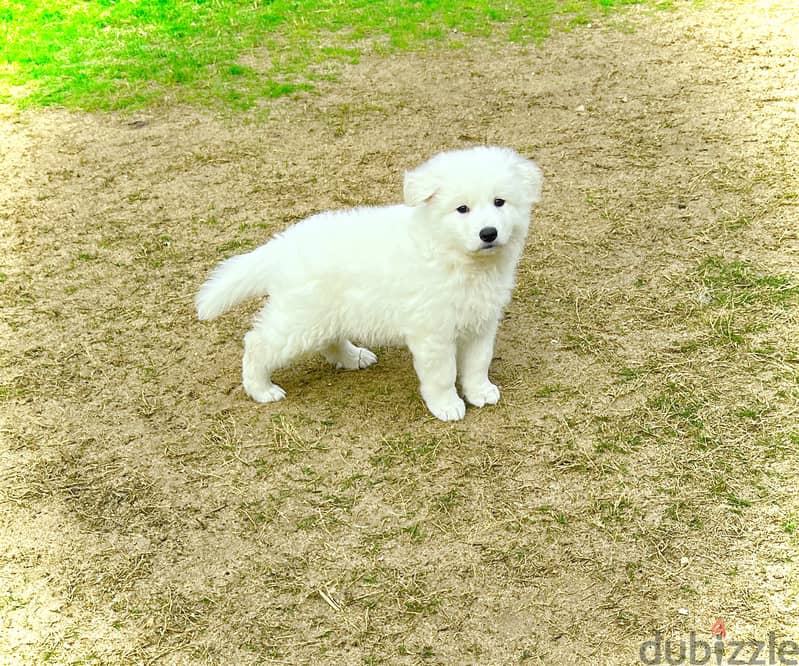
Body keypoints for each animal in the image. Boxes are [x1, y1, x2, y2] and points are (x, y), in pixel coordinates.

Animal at [196, 147, 544, 420]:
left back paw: (353, 358)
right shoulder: (433, 331)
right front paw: (447, 405)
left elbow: (477, 362)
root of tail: (282, 246)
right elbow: (442, 373)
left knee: (329, 340)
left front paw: (480, 391)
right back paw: (261, 388)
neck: (455, 256)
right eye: (462, 209)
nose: (488, 233)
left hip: (327, 312)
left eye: (500, 202)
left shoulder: (482, 321)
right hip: (300, 319)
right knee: (258, 343)